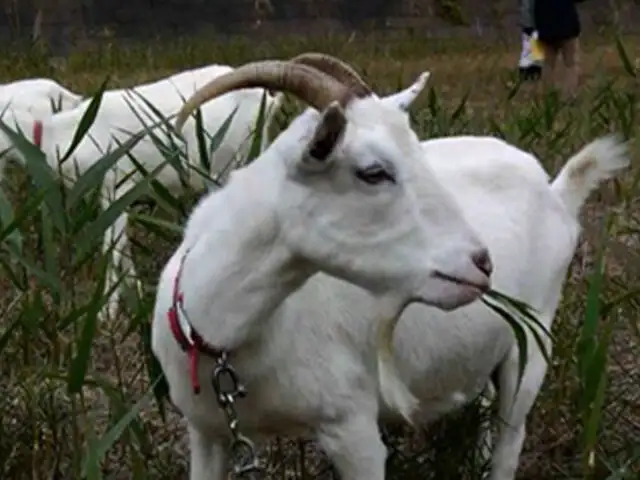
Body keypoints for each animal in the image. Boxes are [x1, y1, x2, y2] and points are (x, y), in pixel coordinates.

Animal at [0, 62, 284, 318]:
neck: (61, 136)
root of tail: (267, 100)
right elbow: (124, 249)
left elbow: (112, 249)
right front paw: (134, 298)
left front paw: (105, 314)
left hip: (230, 160)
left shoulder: (114, 183)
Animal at [151, 54, 632, 480]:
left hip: (532, 339)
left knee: (510, 438)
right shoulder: (207, 434)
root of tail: (556, 191)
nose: (482, 262)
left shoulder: (353, 427)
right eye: (373, 172)